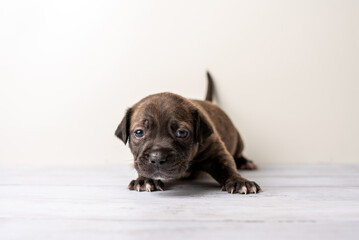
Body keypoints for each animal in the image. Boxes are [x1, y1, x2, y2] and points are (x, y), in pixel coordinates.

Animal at [116, 72, 262, 194]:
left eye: (182, 133)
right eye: (139, 132)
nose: (157, 158)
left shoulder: (216, 152)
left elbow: (227, 166)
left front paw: (239, 181)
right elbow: (141, 166)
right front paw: (145, 180)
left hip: (239, 142)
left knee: (238, 153)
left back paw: (245, 162)